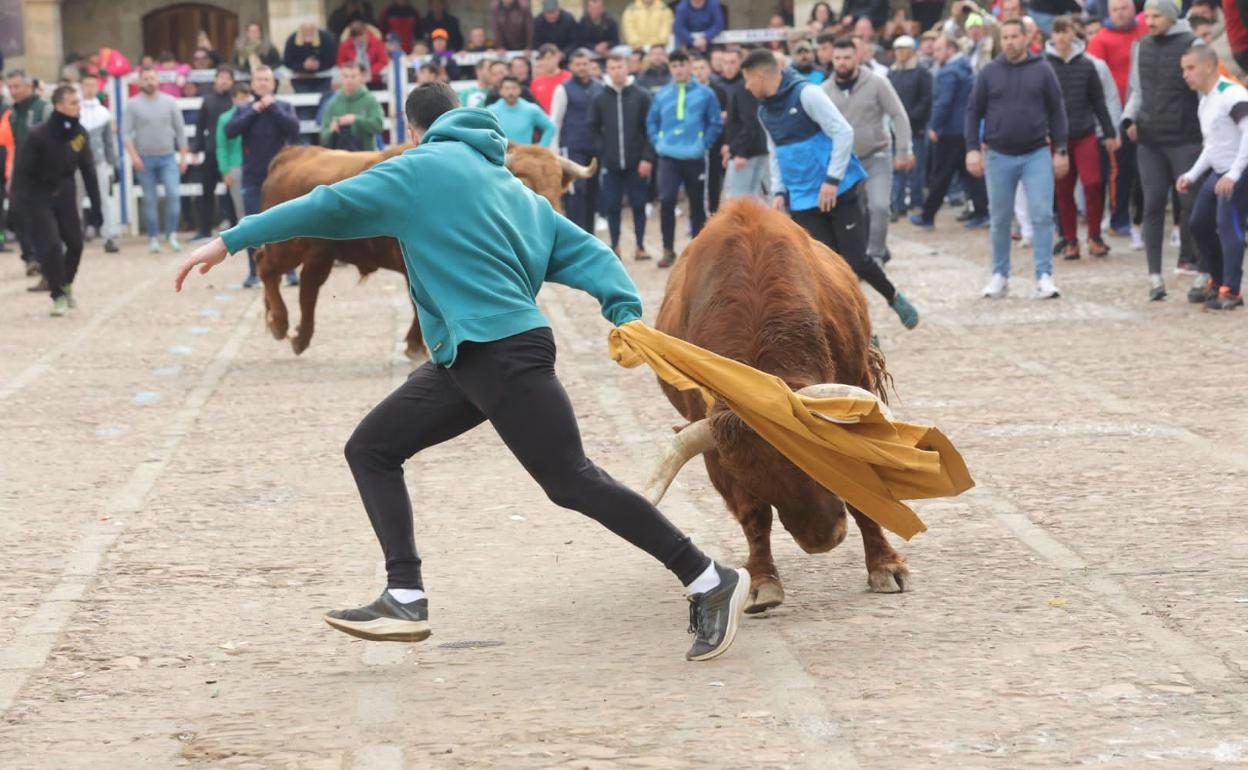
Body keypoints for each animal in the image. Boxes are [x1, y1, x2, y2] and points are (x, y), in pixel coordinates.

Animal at [252, 141, 594, 356]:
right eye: (526, 182)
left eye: (558, 183)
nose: (552, 216)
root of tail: (292, 154)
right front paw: (416, 345)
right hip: (289, 247)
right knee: (266, 266)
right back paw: (280, 322)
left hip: (319, 254)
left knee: (308, 286)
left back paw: (299, 337)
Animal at [643, 198, 908, 611]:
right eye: (752, 478)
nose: (822, 539)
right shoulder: (718, 455)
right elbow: (753, 516)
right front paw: (763, 582)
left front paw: (885, 566)